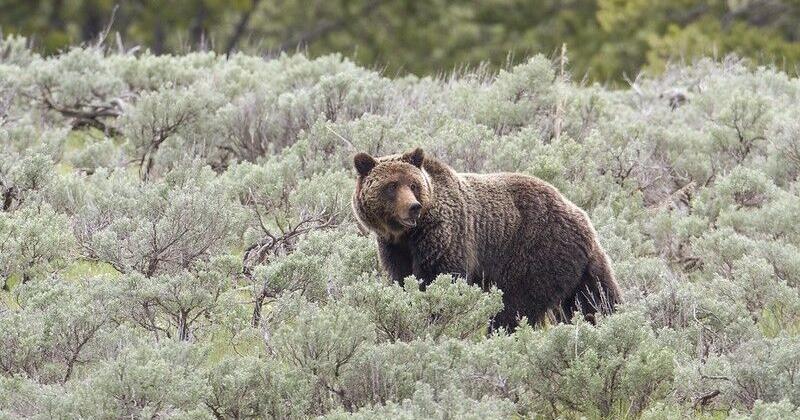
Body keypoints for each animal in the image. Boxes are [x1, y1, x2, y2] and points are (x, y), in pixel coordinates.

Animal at [351, 147, 623, 330]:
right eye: (391, 185)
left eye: (413, 184)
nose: (413, 207)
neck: (407, 235)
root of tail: (582, 218)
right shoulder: (394, 249)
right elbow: (403, 280)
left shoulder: (446, 238)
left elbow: (440, 279)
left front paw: (436, 316)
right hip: (578, 268)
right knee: (595, 299)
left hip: (536, 253)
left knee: (515, 305)